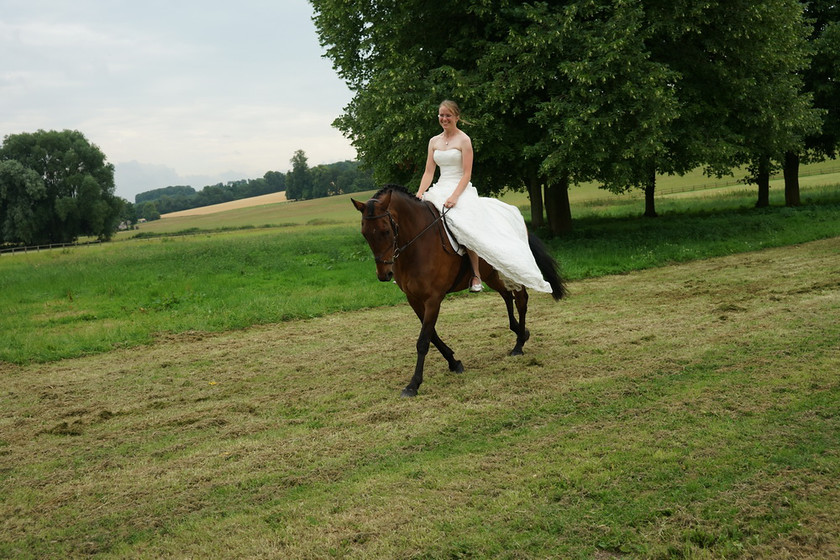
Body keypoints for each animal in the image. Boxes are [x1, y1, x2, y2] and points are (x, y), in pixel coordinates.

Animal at [352, 186, 560, 396]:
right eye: (365, 233)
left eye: (386, 231)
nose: (384, 274)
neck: (417, 243)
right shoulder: (414, 299)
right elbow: (432, 336)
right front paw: (454, 362)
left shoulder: (433, 299)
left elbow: (423, 340)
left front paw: (413, 384)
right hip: (491, 273)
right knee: (506, 296)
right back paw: (520, 332)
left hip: (511, 267)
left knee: (521, 300)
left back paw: (519, 345)